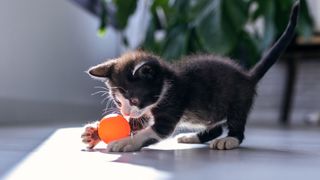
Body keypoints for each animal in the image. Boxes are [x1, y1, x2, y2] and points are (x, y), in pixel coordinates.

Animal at [81, 2, 298, 151]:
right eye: (118, 103)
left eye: (134, 99)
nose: (124, 112)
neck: (167, 84)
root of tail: (247, 76)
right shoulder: (144, 111)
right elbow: (138, 122)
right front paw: (94, 134)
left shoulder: (172, 104)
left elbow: (152, 131)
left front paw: (126, 142)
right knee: (215, 126)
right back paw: (193, 137)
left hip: (238, 100)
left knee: (236, 124)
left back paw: (229, 140)